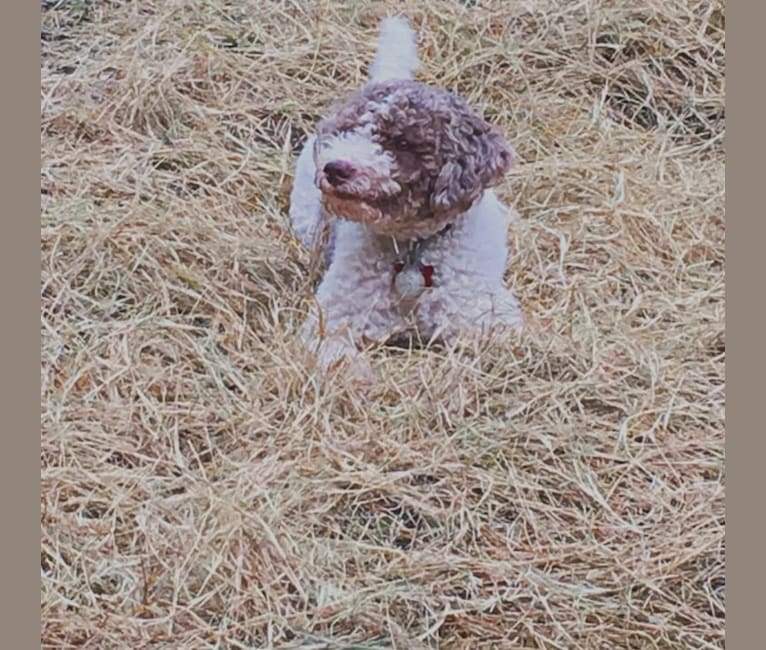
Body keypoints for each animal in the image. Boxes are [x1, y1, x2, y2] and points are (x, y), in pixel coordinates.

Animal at [292, 15, 524, 382]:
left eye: (401, 143)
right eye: (346, 131)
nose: (334, 168)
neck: (414, 246)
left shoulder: (485, 318)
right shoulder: (332, 319)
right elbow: (336, 354)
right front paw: (360, 377)